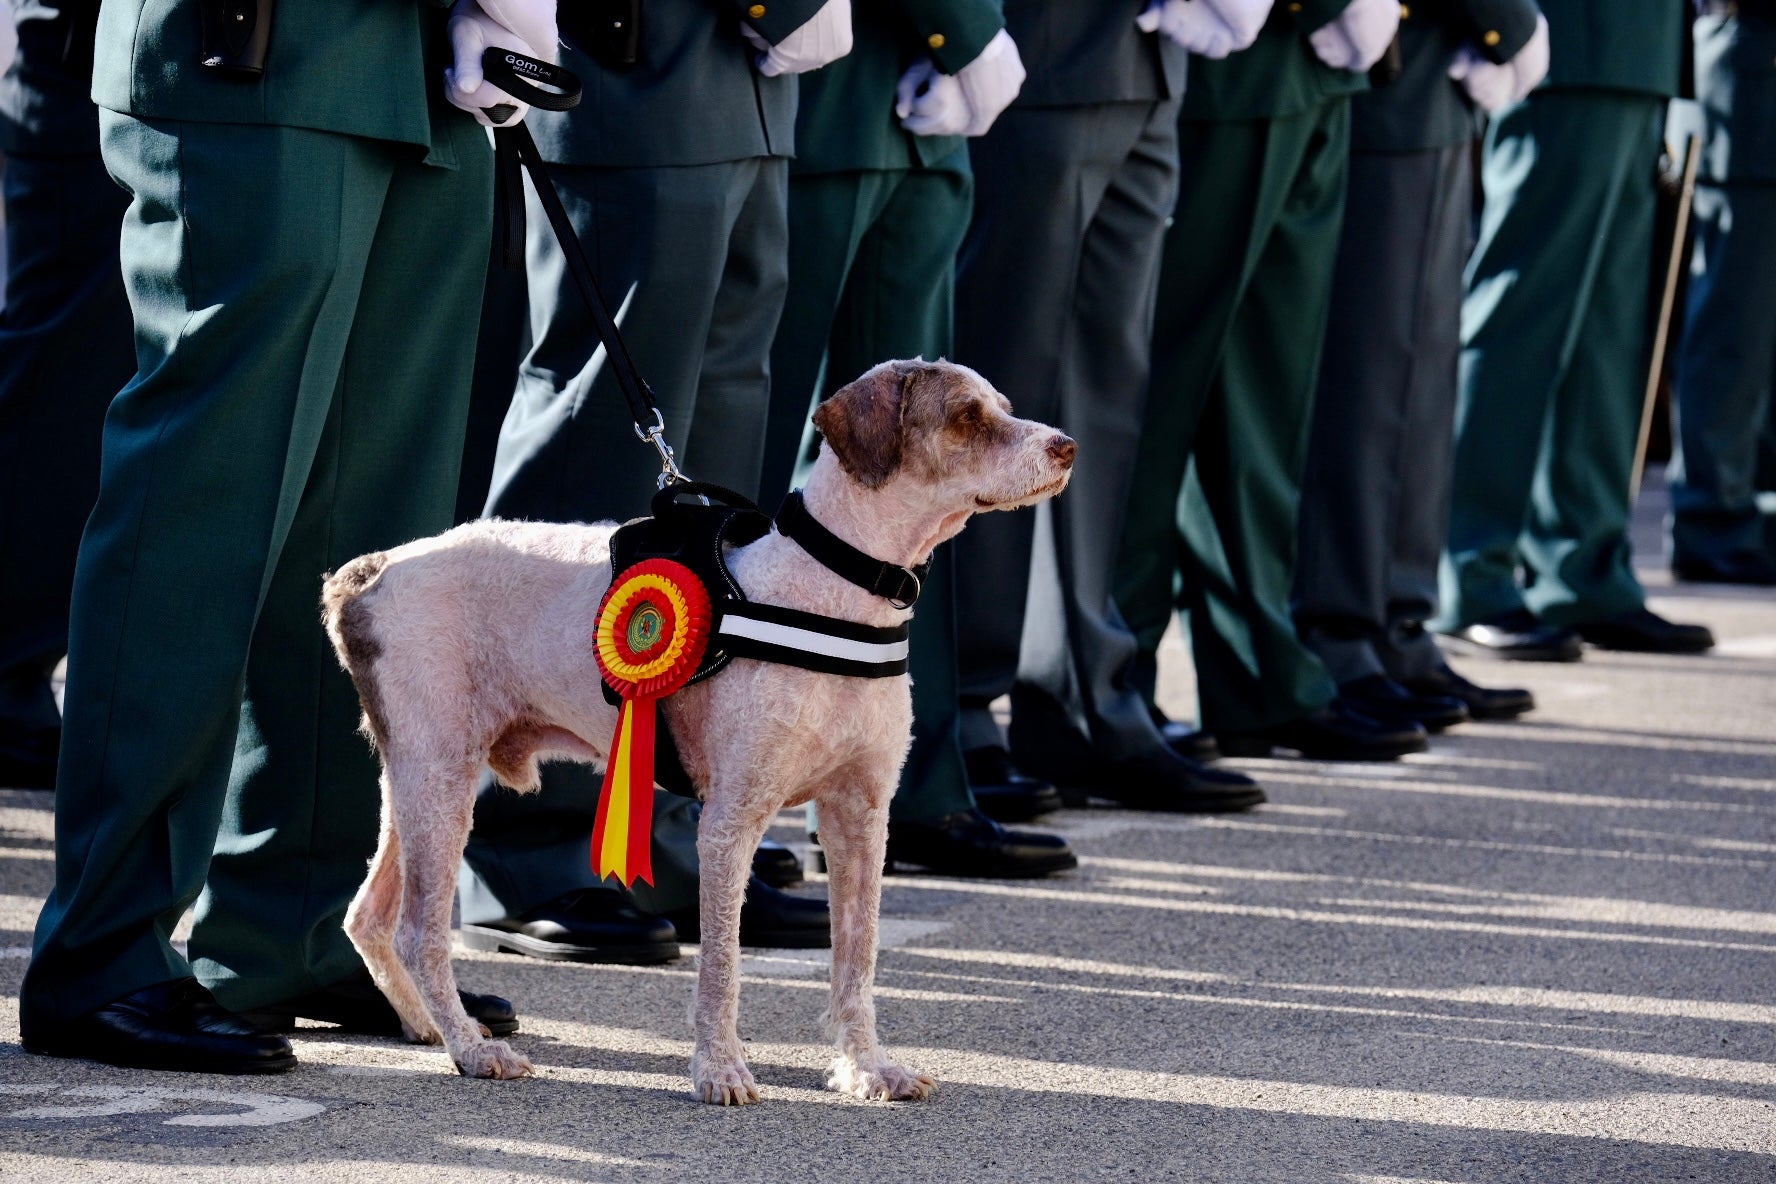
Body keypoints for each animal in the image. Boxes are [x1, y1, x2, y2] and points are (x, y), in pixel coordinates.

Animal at [321, 356, 1072, 1107]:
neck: (829, 595)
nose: (1065, 447)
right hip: (441, 779)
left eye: (1004, 406)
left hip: (418, 783)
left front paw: (865, 1067)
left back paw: (425, 1025)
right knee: (419, 932)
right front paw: (720, 1068)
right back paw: (472, 1049)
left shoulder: (860, 818)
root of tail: (373, 570)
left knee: (368, 917)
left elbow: (856, 960)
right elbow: (722, 964)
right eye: (967, 417)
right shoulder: (730, 822)